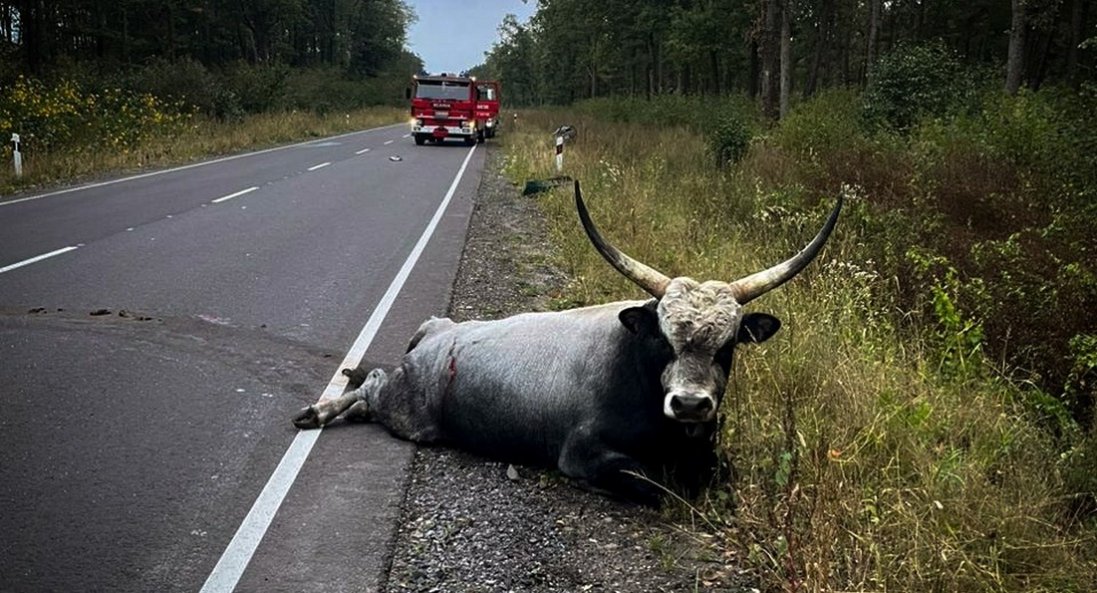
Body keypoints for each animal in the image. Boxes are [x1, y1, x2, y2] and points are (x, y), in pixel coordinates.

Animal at [291, 181, 838, 504]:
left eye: (727, 345)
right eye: (663, 340)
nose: (689, 404)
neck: (633, 371)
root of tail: (438, 330)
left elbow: (718, 473)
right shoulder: (584, 454)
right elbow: (658, 486)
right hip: (407, 409)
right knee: (371, 385)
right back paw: (319, 410)